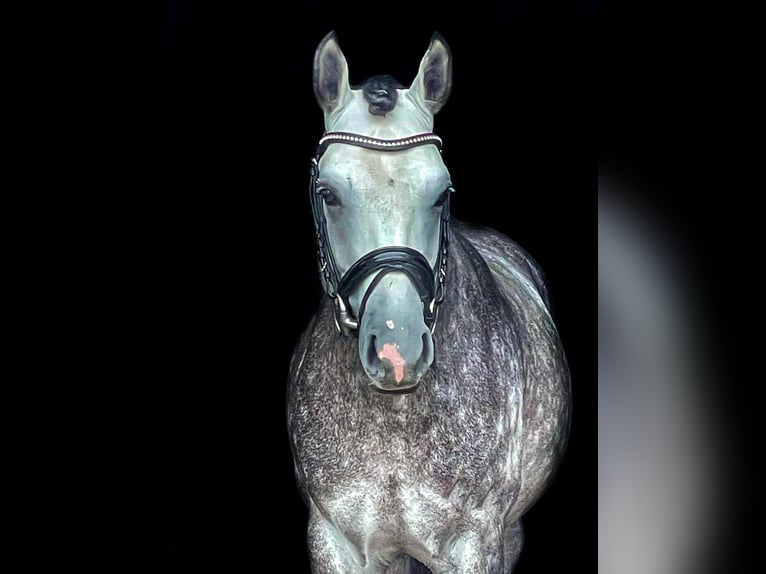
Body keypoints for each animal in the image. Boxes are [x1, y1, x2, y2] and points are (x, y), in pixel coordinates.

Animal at [288, 32, 568, 574]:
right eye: (328, 193)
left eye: (441, 192)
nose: (397, 352)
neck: (395, 417)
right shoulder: (333, 540)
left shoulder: (475, 543)